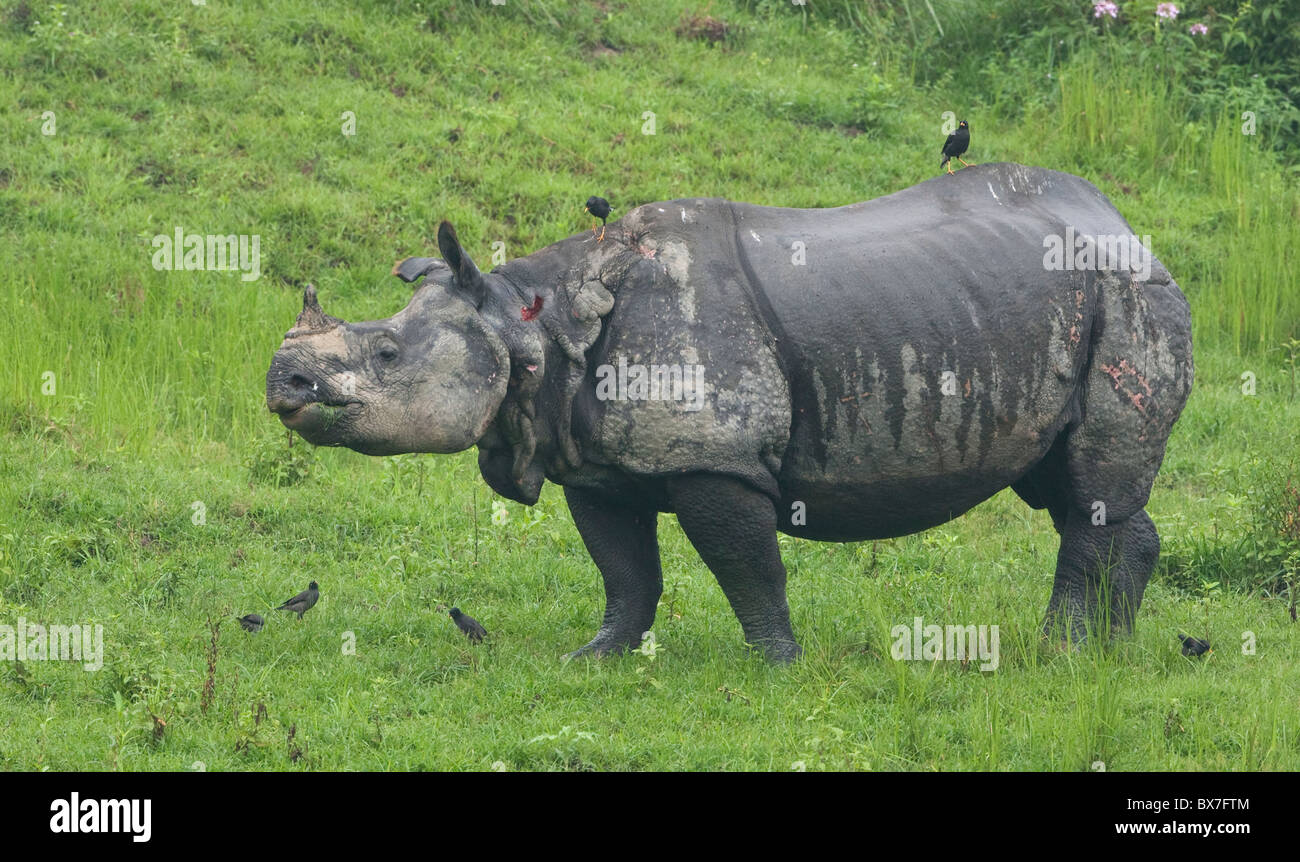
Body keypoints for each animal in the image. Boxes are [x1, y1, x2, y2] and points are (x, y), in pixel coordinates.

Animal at [265, 163, 1193, 662]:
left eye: (386, 355)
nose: (284, 381)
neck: (529, 323)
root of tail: (1126, 223)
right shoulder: (591, 463)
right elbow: (624, 571)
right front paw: (596, 657)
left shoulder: (716, 456)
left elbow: (748, 566)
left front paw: (776, 665)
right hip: (1055, 302)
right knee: (1075, 490)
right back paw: (1108, 653)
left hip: (1127, 295)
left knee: (1088, 490)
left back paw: (1059, 650)